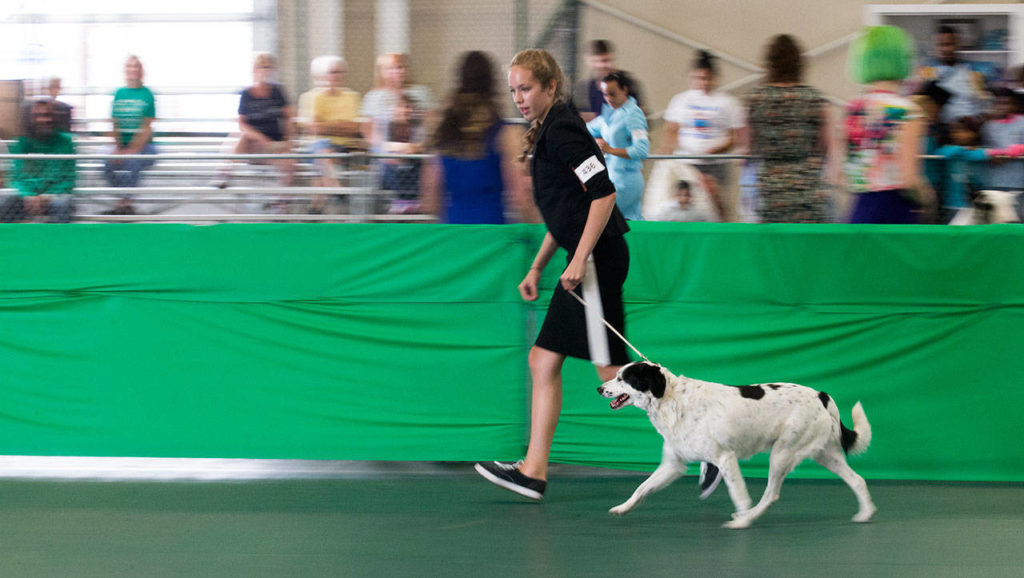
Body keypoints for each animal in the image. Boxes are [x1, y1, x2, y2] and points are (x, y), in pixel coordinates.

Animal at [598, 362, 880, 528]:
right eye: (616, 375)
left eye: (623, 378)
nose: (600, 389)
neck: (671, 398)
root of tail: (822, 396)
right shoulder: (672, 466)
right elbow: (641, 488)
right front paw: (622, 508)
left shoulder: (725, 458)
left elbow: (738, 493)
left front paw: (742, 517)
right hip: (825, 455)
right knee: (857, 480)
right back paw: (865, 514)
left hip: (782, 453)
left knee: (770, 495)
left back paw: (746, 519)